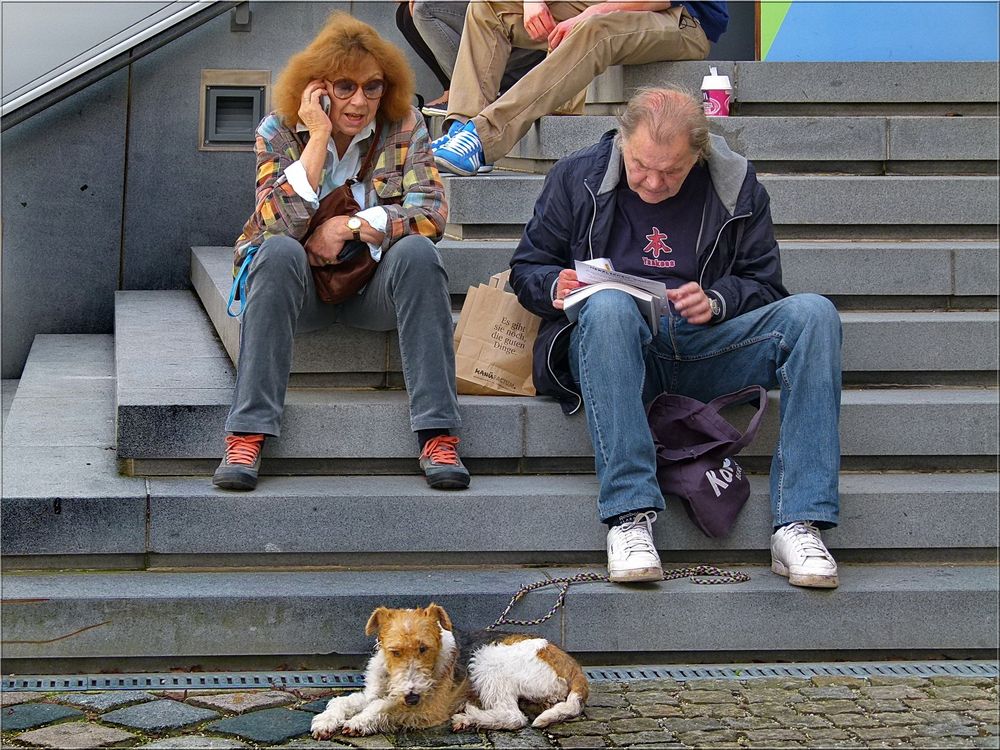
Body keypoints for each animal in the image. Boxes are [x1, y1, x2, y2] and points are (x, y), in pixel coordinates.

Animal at [312, 604, 588, 736]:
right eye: (395, 651)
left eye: (424, 648)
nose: (412, 696)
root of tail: (574, 668)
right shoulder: (375, 693)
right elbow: (342, 701)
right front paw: (325, 722)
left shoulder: (430, 708)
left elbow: (381, 707)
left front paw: (359, 722)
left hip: (487, 659)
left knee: (513, 717)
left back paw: (467, 717)